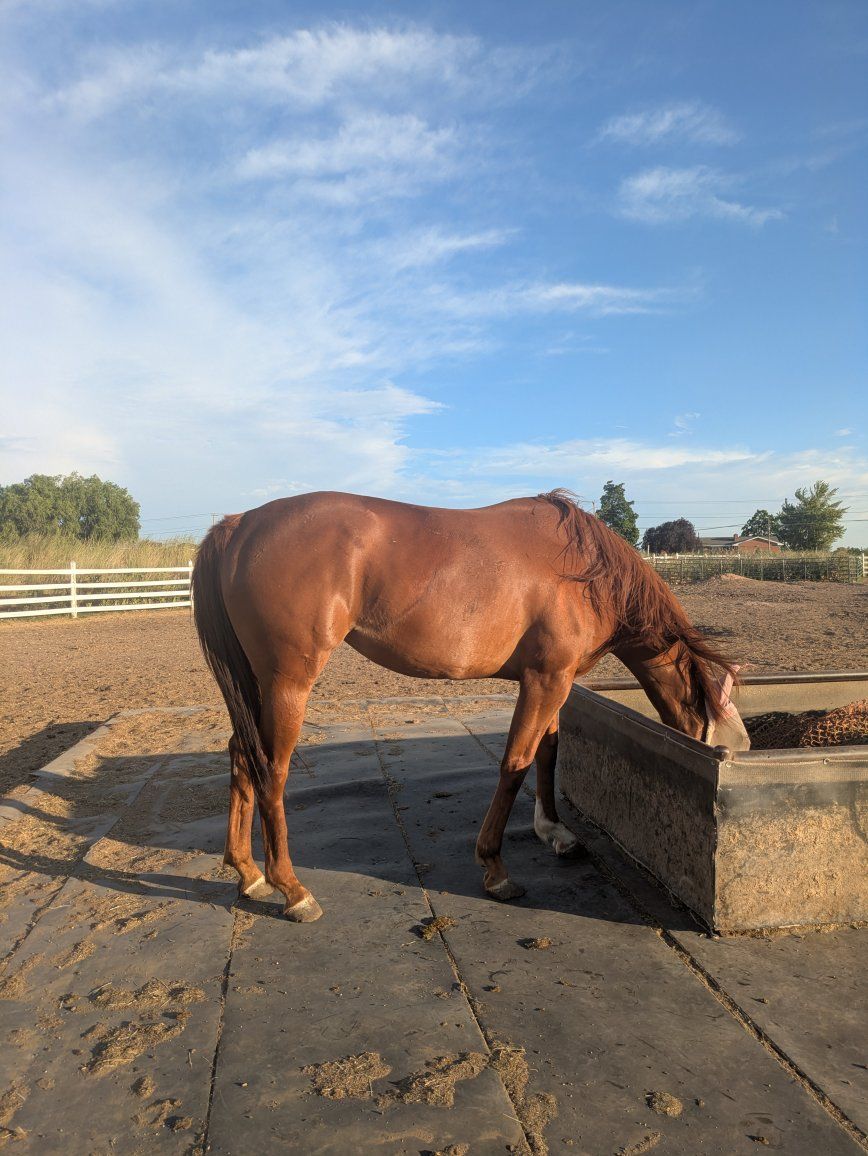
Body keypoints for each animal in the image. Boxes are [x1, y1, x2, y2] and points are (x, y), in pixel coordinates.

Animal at [192, 489, 749, 923]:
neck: (584, 573)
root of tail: (239, 526)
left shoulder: (556, 682)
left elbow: (547, 752)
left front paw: (554, 831)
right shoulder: (546, 681)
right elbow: (515, 763)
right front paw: (495, 868)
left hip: (257, 686)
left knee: (241, 756)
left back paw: (248, 874)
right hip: (288, 685)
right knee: (271, 770)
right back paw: (292, 890)